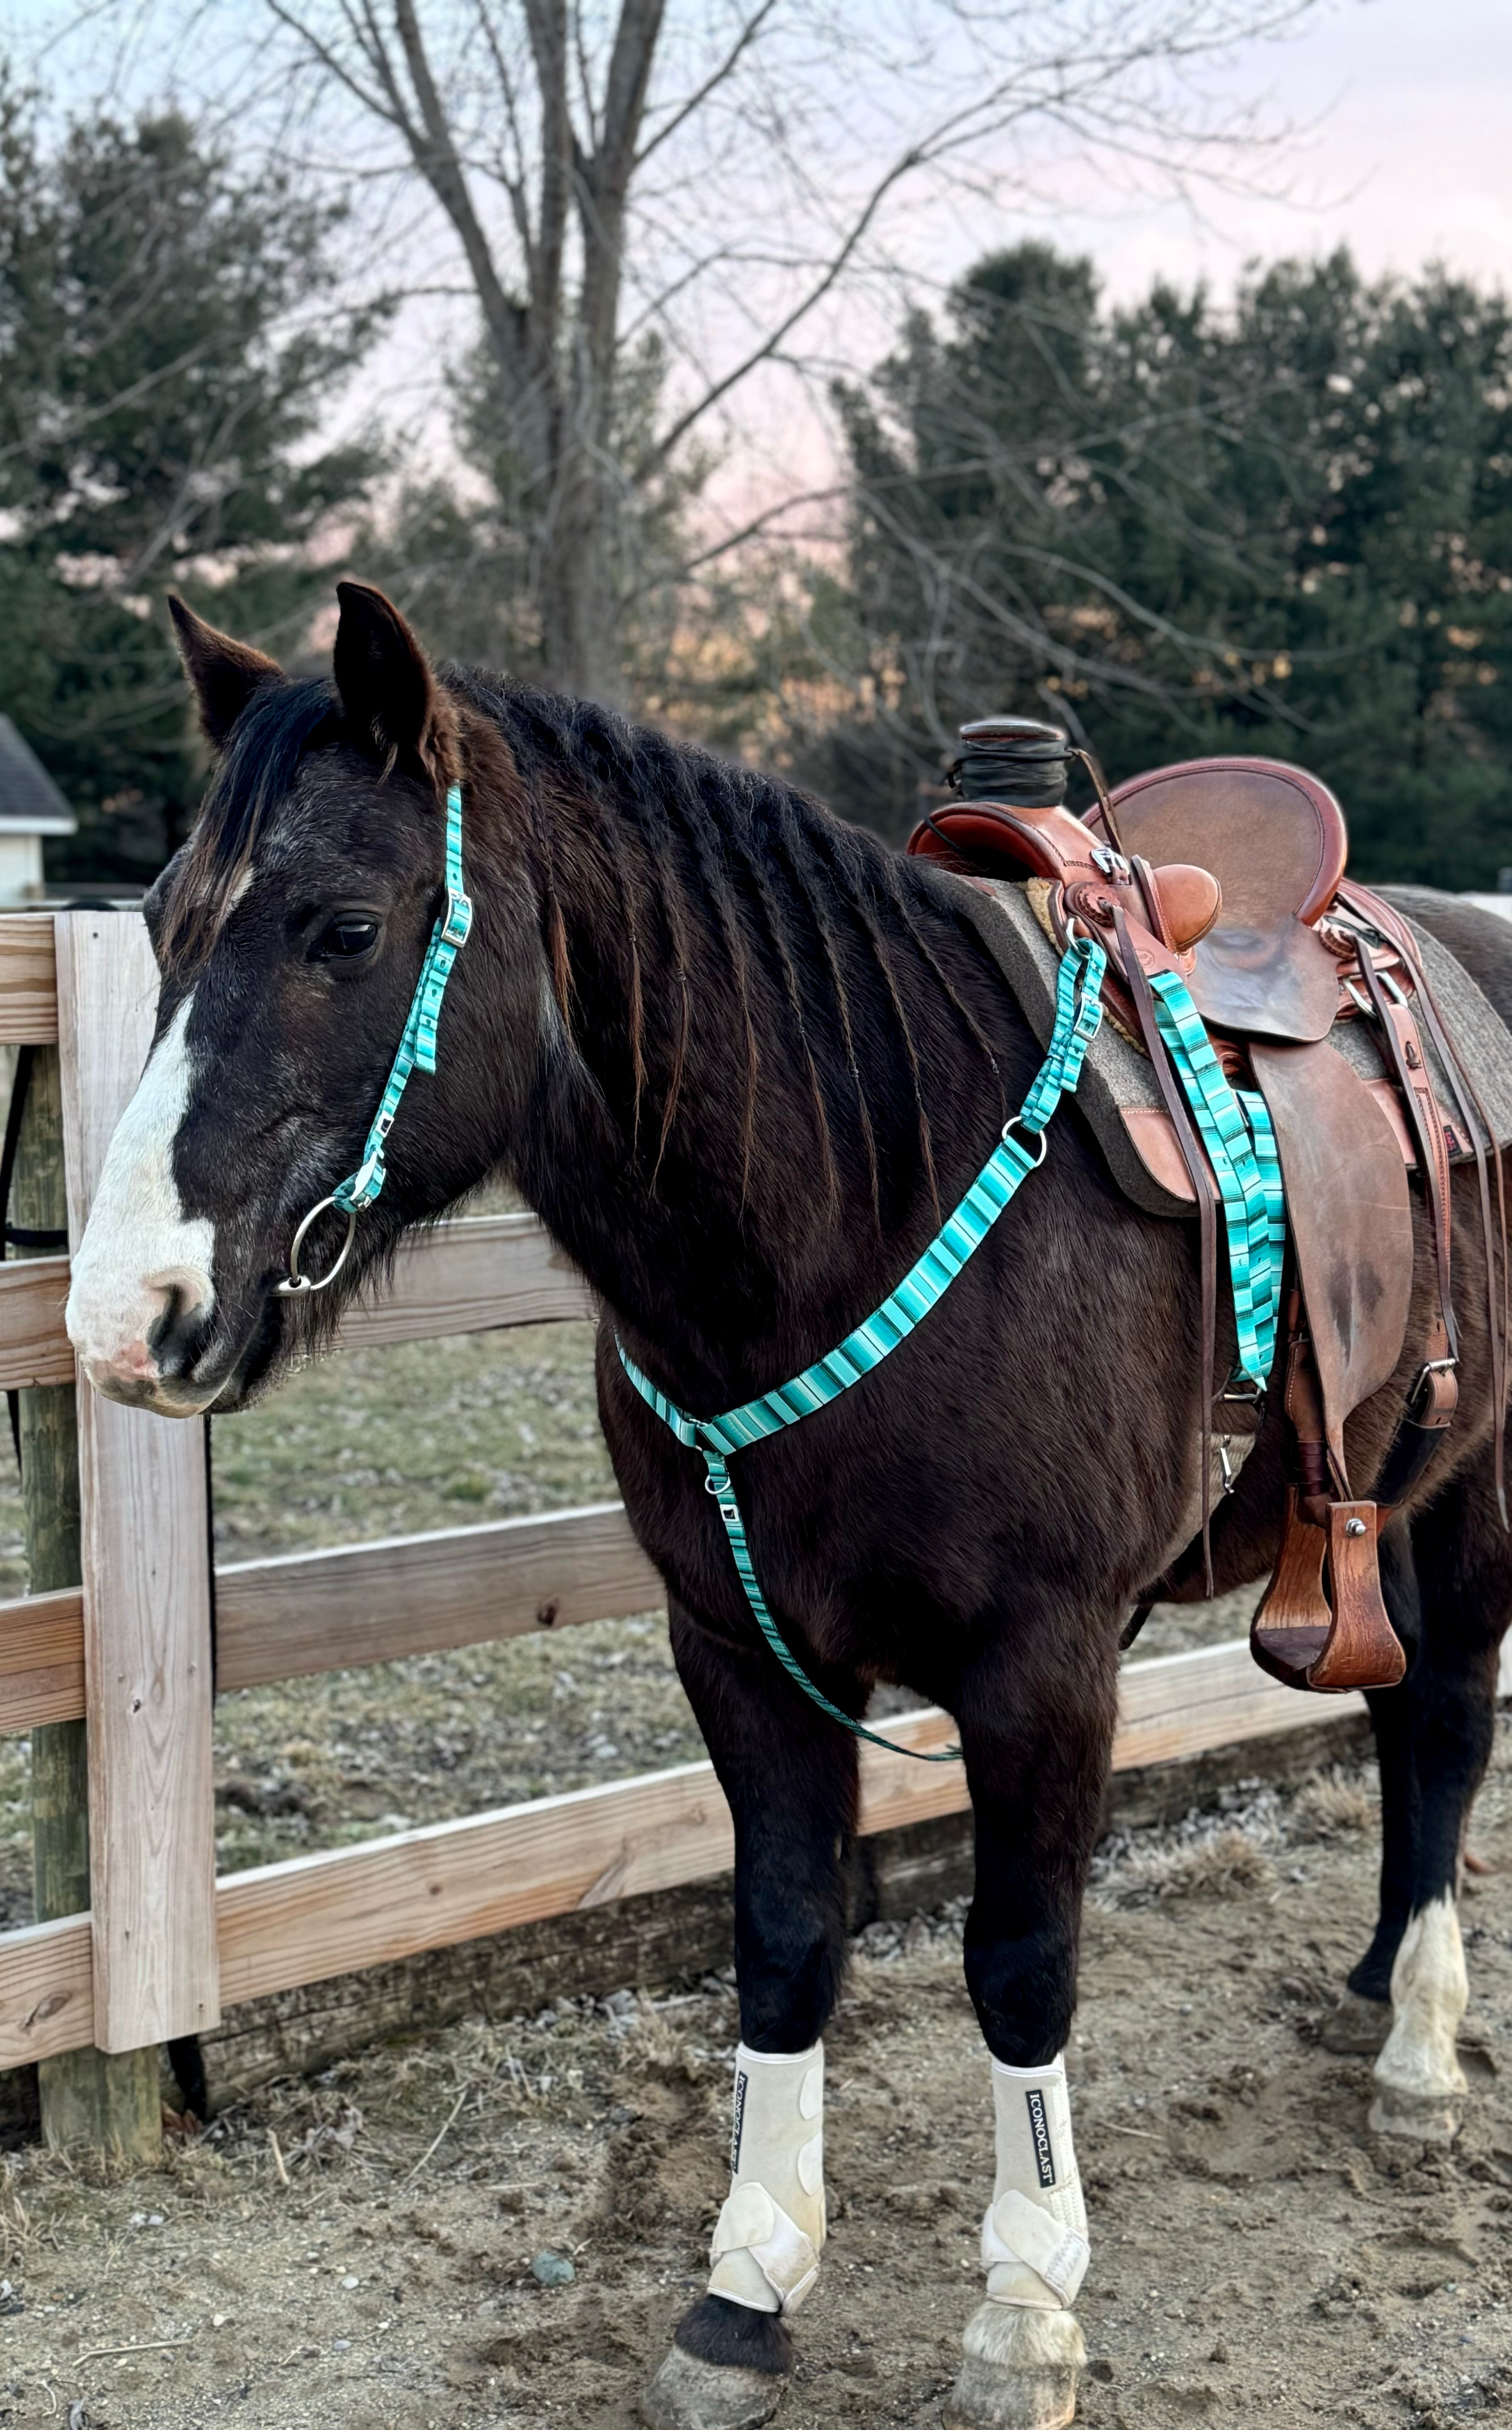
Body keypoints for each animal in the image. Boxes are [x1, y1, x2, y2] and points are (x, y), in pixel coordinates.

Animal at [68, 583, 1512, 2430]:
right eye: (163, 921)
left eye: (346, 927)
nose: (127, 1315)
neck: (858, 1191)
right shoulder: (738, 1654)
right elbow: (778, 1934)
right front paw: (746, 2285)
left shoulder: (1043, 1669)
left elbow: (1020, 1960)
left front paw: (1024, 2307)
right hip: (1377, 1507)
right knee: (1402, 1724)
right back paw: (1375, 1982)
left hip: (1476, 1495)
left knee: (1450, 1717)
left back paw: (1417, 2044)